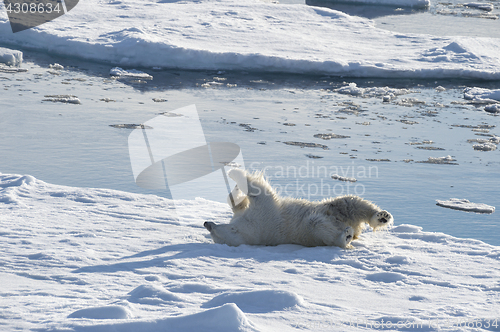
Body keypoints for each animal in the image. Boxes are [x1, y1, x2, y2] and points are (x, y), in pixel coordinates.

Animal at [203, 170, 390, 248]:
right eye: (215, 233)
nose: (206, 223)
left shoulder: (247, 217)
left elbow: (235, 203)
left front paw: (234, 186)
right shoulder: (261, 217)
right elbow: (260, 192)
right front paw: (234, 172)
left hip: (331, 207)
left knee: (350, 203)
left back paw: (382, 216)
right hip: (312, 230)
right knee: (318, 223)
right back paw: (345, 236)